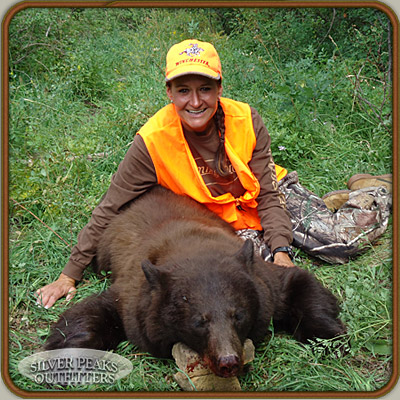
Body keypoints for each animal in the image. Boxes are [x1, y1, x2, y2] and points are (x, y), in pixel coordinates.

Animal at [43, 186, 344, 376]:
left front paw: (332, 340)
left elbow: (298, 285)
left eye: (238, 315)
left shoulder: (263, 278)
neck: (193, 247)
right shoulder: (133, 295)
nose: (228, 361)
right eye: (200, 321)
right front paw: (62, 355)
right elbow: (92, 312)